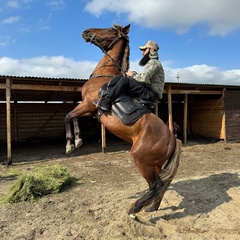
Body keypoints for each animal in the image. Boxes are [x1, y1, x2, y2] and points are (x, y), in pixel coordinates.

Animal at [63, 23, 180, 214]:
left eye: (110, 30)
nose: (86, 32)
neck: (105, 75)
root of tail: (172, 138)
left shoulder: (87, 104)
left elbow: (68, 116)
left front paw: (71, 144)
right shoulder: (87, 110)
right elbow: (72, 117)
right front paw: (77, 141)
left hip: (141, 160)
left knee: (156, 185)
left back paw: (134, 210)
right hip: (155, 164)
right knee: (162, 185)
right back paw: (151, 207)